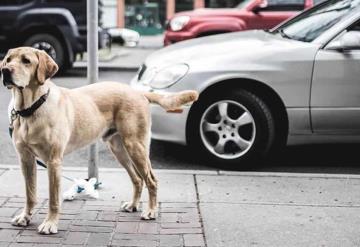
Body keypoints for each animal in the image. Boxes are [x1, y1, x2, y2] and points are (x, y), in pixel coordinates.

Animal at [0, 47, 197, 234]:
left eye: (26, 61)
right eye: (8, 60)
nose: (5, 70)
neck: (31, 109)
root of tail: (138, 92)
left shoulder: (53, 161)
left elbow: (53, 199)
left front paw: (50, 224)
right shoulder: (26, 160)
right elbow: (30, 194)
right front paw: (25, 217)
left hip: (136, 146)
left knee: (151, 180)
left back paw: (151, 211)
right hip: (119, 149)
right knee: (137, 179)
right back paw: (133, 205)